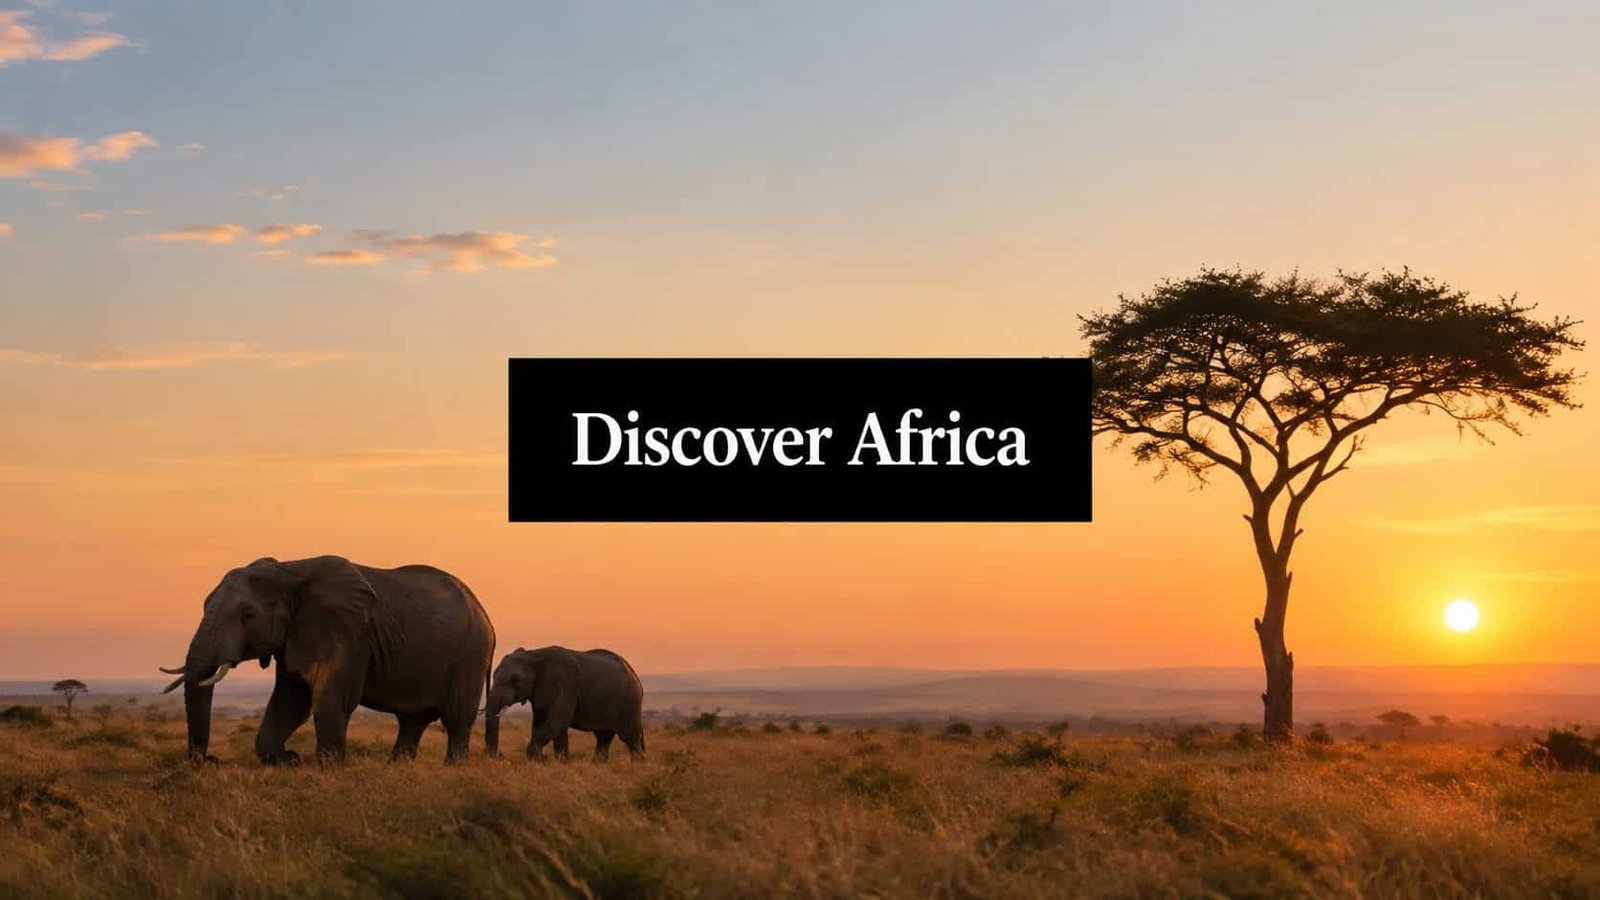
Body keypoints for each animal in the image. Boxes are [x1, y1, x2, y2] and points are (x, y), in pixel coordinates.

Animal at [159, 555, 497, 765]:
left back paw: (453, 767)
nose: (210, 761)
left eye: (248, 616)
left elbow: (331, 699)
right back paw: (397, 767)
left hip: (471, 653)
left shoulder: (349, 633)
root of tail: (485, 613)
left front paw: (329, 766)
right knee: (412, 719)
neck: (288, 571)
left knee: (456, 717)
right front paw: (288, 761)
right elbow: (291, 700)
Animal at [484, 646, 645, 762]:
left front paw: (539, 759)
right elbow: (543, 725)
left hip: (629, 703)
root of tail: (636, 677)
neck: (535, 655)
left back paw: (637, 768)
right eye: (494, 675)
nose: (500, 756)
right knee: (603, 738)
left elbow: (555, 724)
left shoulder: (565, 687)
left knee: (629, 737)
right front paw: (560, 762)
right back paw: (598, 765)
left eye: (515, 680)